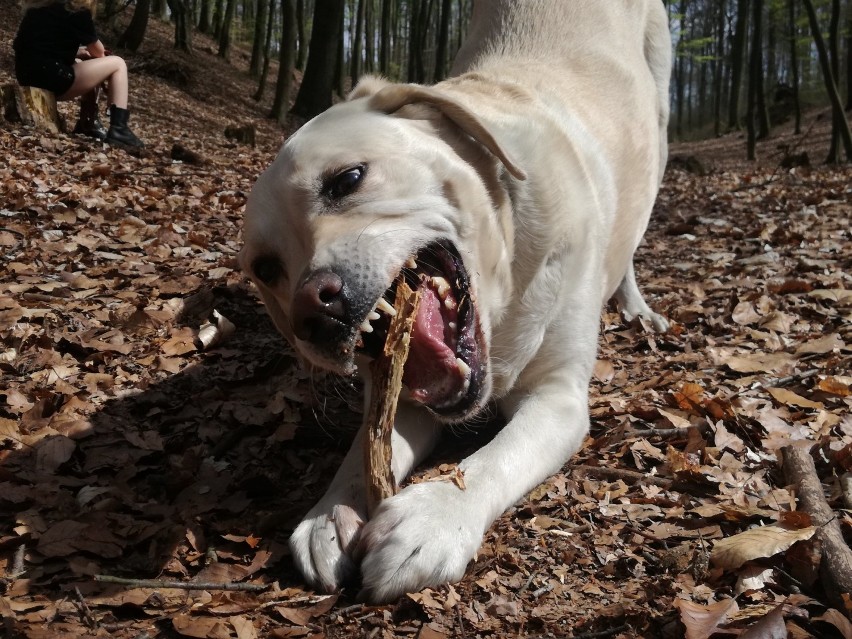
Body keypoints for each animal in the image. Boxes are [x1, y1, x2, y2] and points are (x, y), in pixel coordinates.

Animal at [240, 0, 672, 604]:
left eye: (347, 179)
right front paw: (330, 513)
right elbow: (366, 446)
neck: (504, 284)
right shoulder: (409, 398)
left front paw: (435, 518)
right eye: (266, 270)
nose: (312, 312)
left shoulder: (560, 399)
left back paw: (635, 305)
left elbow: (496, 456)